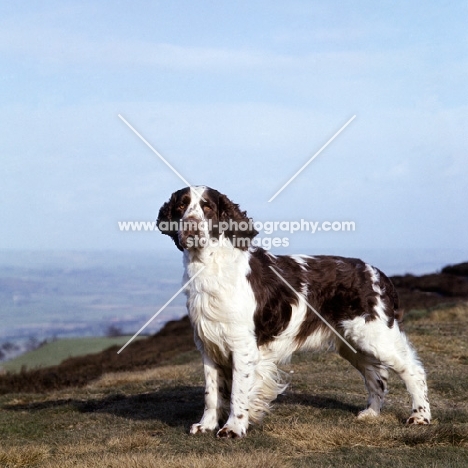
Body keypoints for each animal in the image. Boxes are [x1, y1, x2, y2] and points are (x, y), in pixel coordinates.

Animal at [157, 185, 432, 436]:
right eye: (181, 205)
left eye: (207, 207)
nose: (191, 225)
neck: (212, 266)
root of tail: (378, 273)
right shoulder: (208, 345)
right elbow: (211, 393)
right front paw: (206, 425)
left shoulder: (242, 346)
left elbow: (238, 392)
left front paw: (233, 428)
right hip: (352, 344)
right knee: (376, 377)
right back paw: (372, 413)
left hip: (375, 336)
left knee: (413, 370)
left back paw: (420, 416)